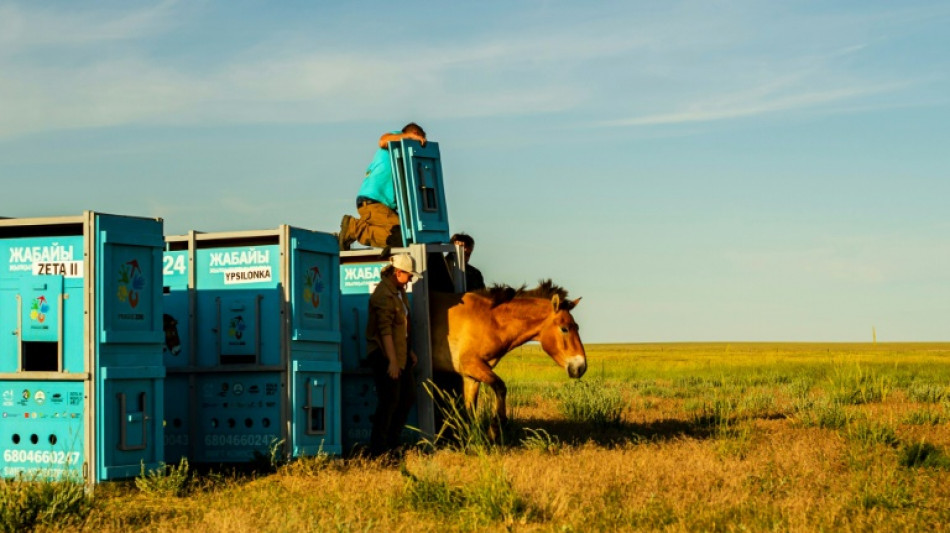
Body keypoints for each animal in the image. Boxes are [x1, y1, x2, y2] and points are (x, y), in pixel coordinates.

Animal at [432, 278, 588, 432]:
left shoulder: (471, 376)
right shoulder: (471, 365)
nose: (581, 367)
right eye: (564, 329)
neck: (489, 320)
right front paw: (496, 426)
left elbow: (470, 412)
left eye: (577, 327)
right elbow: (501, 387)